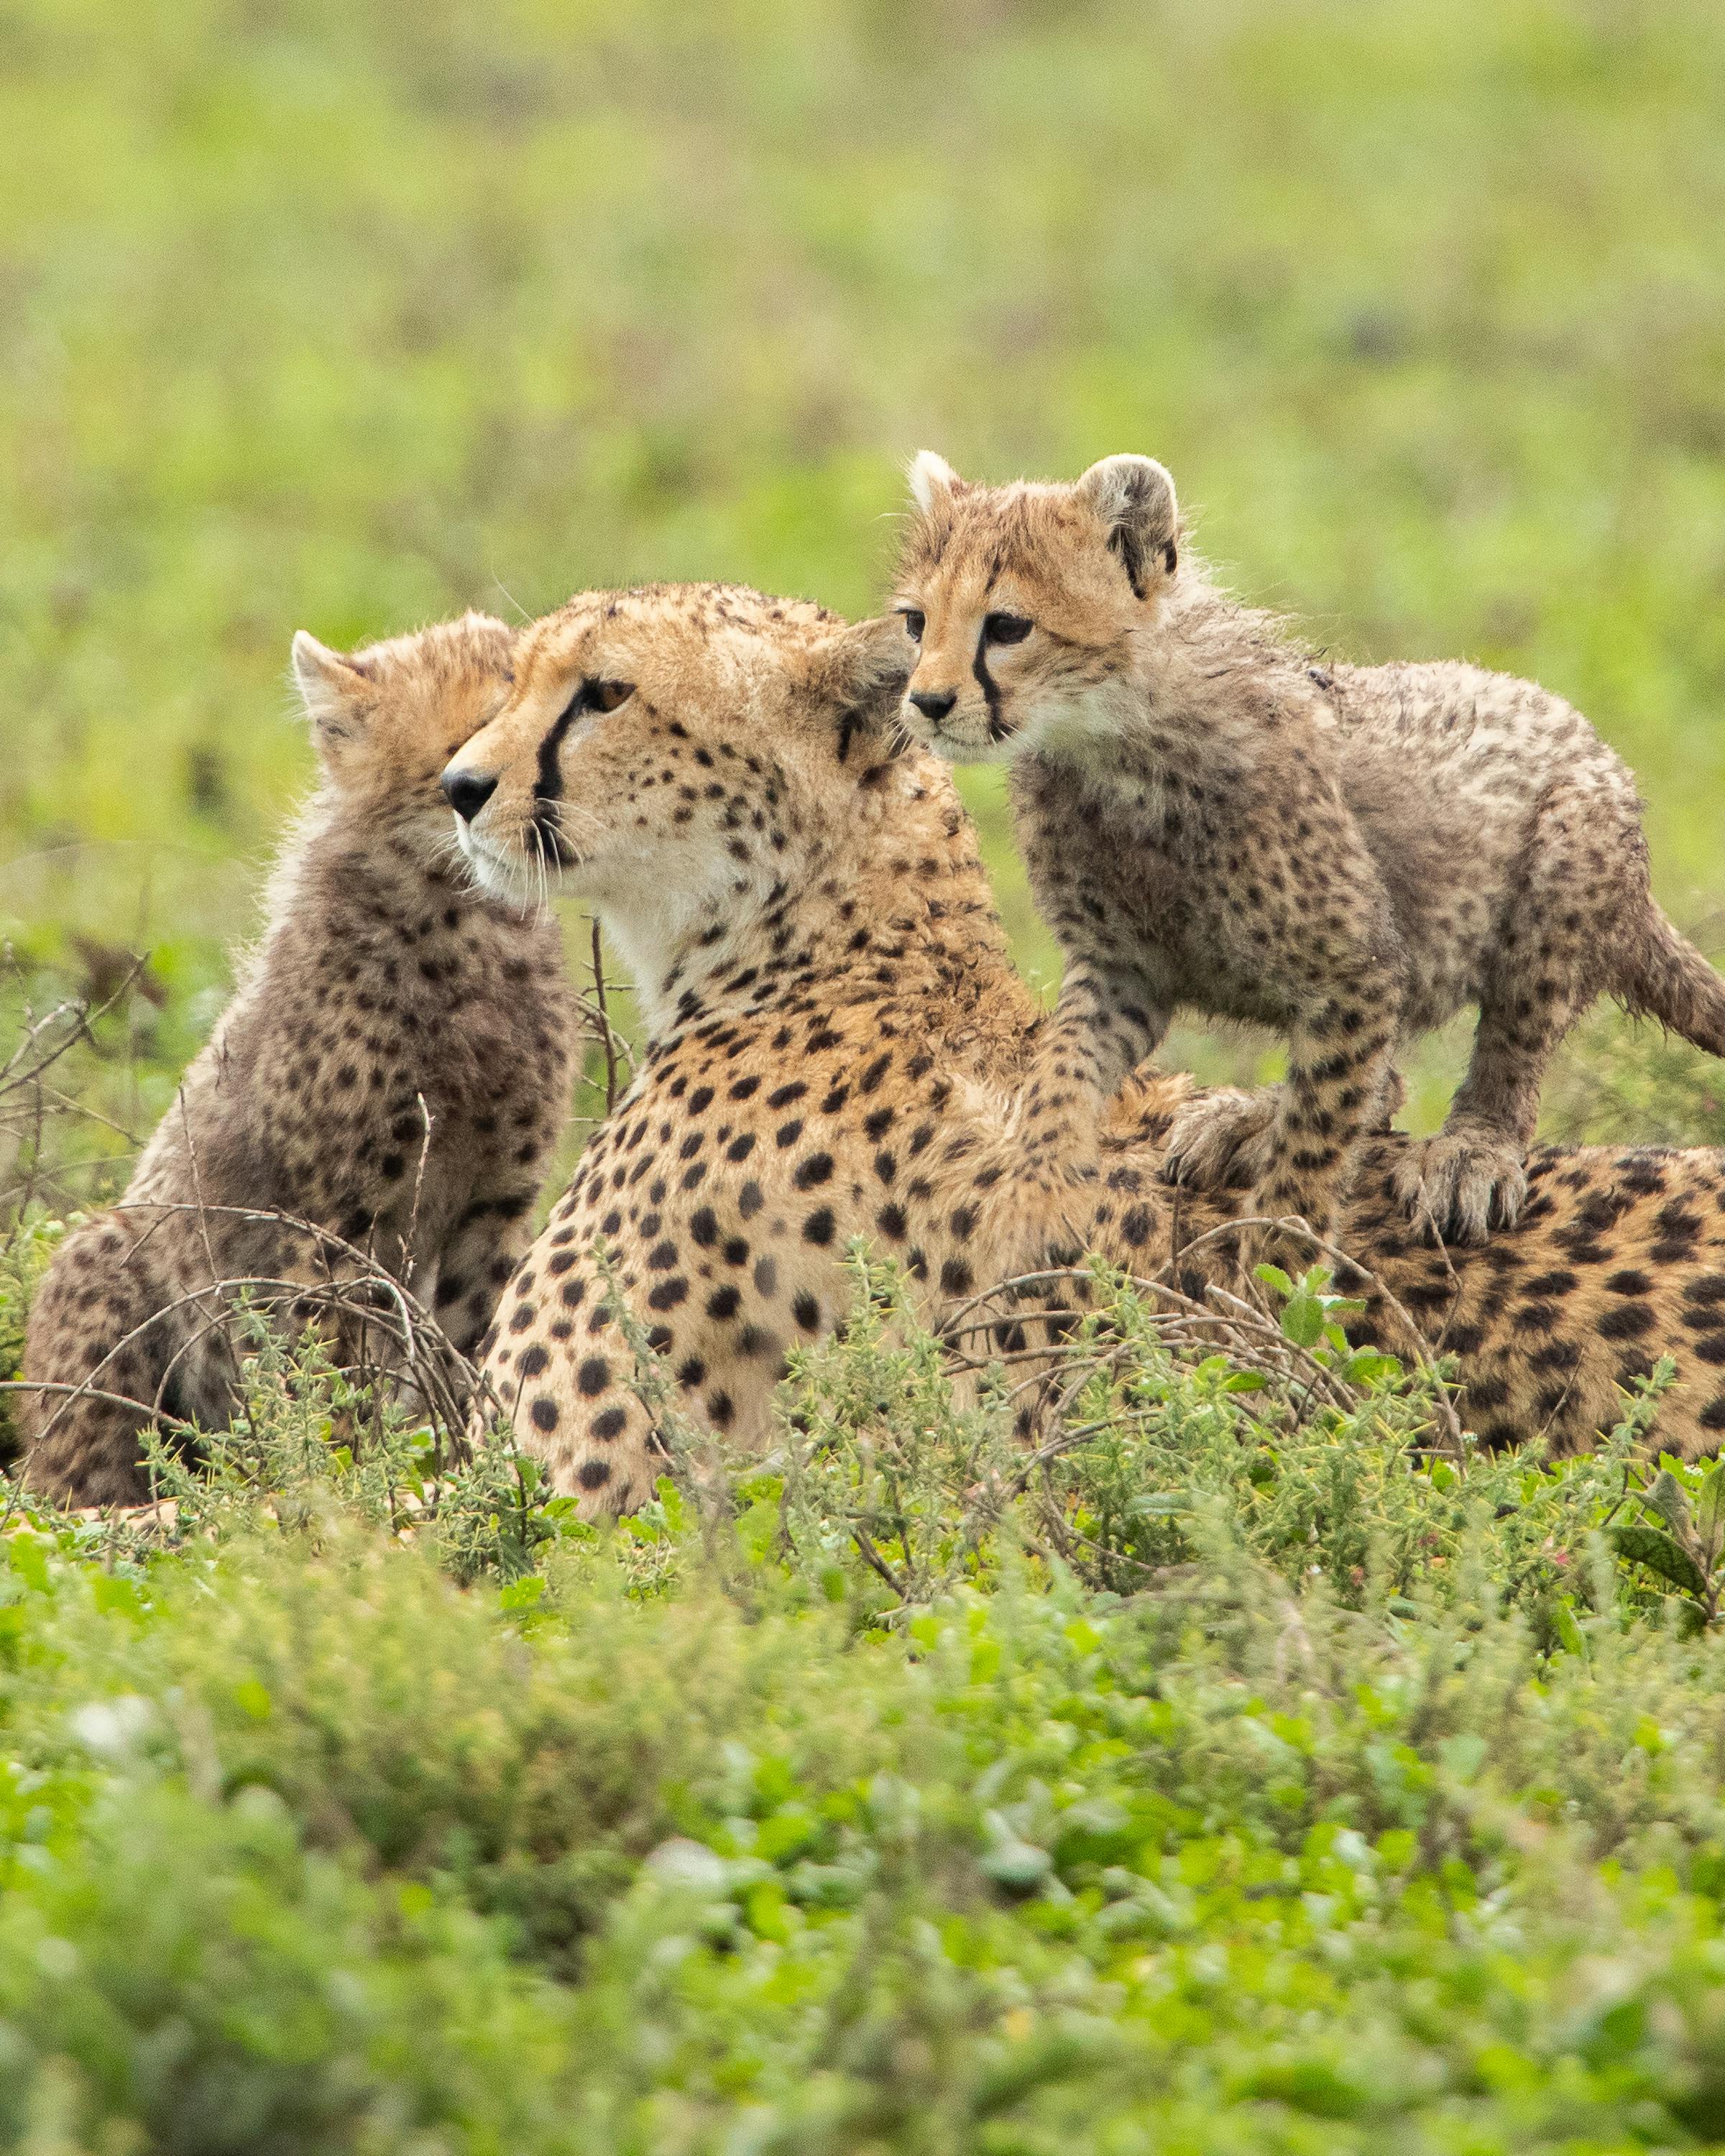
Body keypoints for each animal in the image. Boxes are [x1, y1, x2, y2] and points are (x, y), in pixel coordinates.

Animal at [20, 612, 579, 1509]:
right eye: (473, 741)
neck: (467, 923)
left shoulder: (494, 1204)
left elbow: (475, 1349)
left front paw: (471, 1469)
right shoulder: (336, 1218)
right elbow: (333, 1366)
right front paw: (346, 1487)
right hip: (106, 1257)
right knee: (76, 1479)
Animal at [890, 449, 1725, 1273]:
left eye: (1007, 626)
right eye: (916, 622)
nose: (926, 702)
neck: (1108, 739)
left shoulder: (1357, 974)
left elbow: (1317, 1142)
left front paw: (1277, 1271)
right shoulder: (1120, 969)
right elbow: (1061, 1070)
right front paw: (1033, 1191)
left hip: (1564, 866)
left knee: (1507, 1049)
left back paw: (1472, 1149)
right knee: (1386, 1084)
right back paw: (1250, 1116)